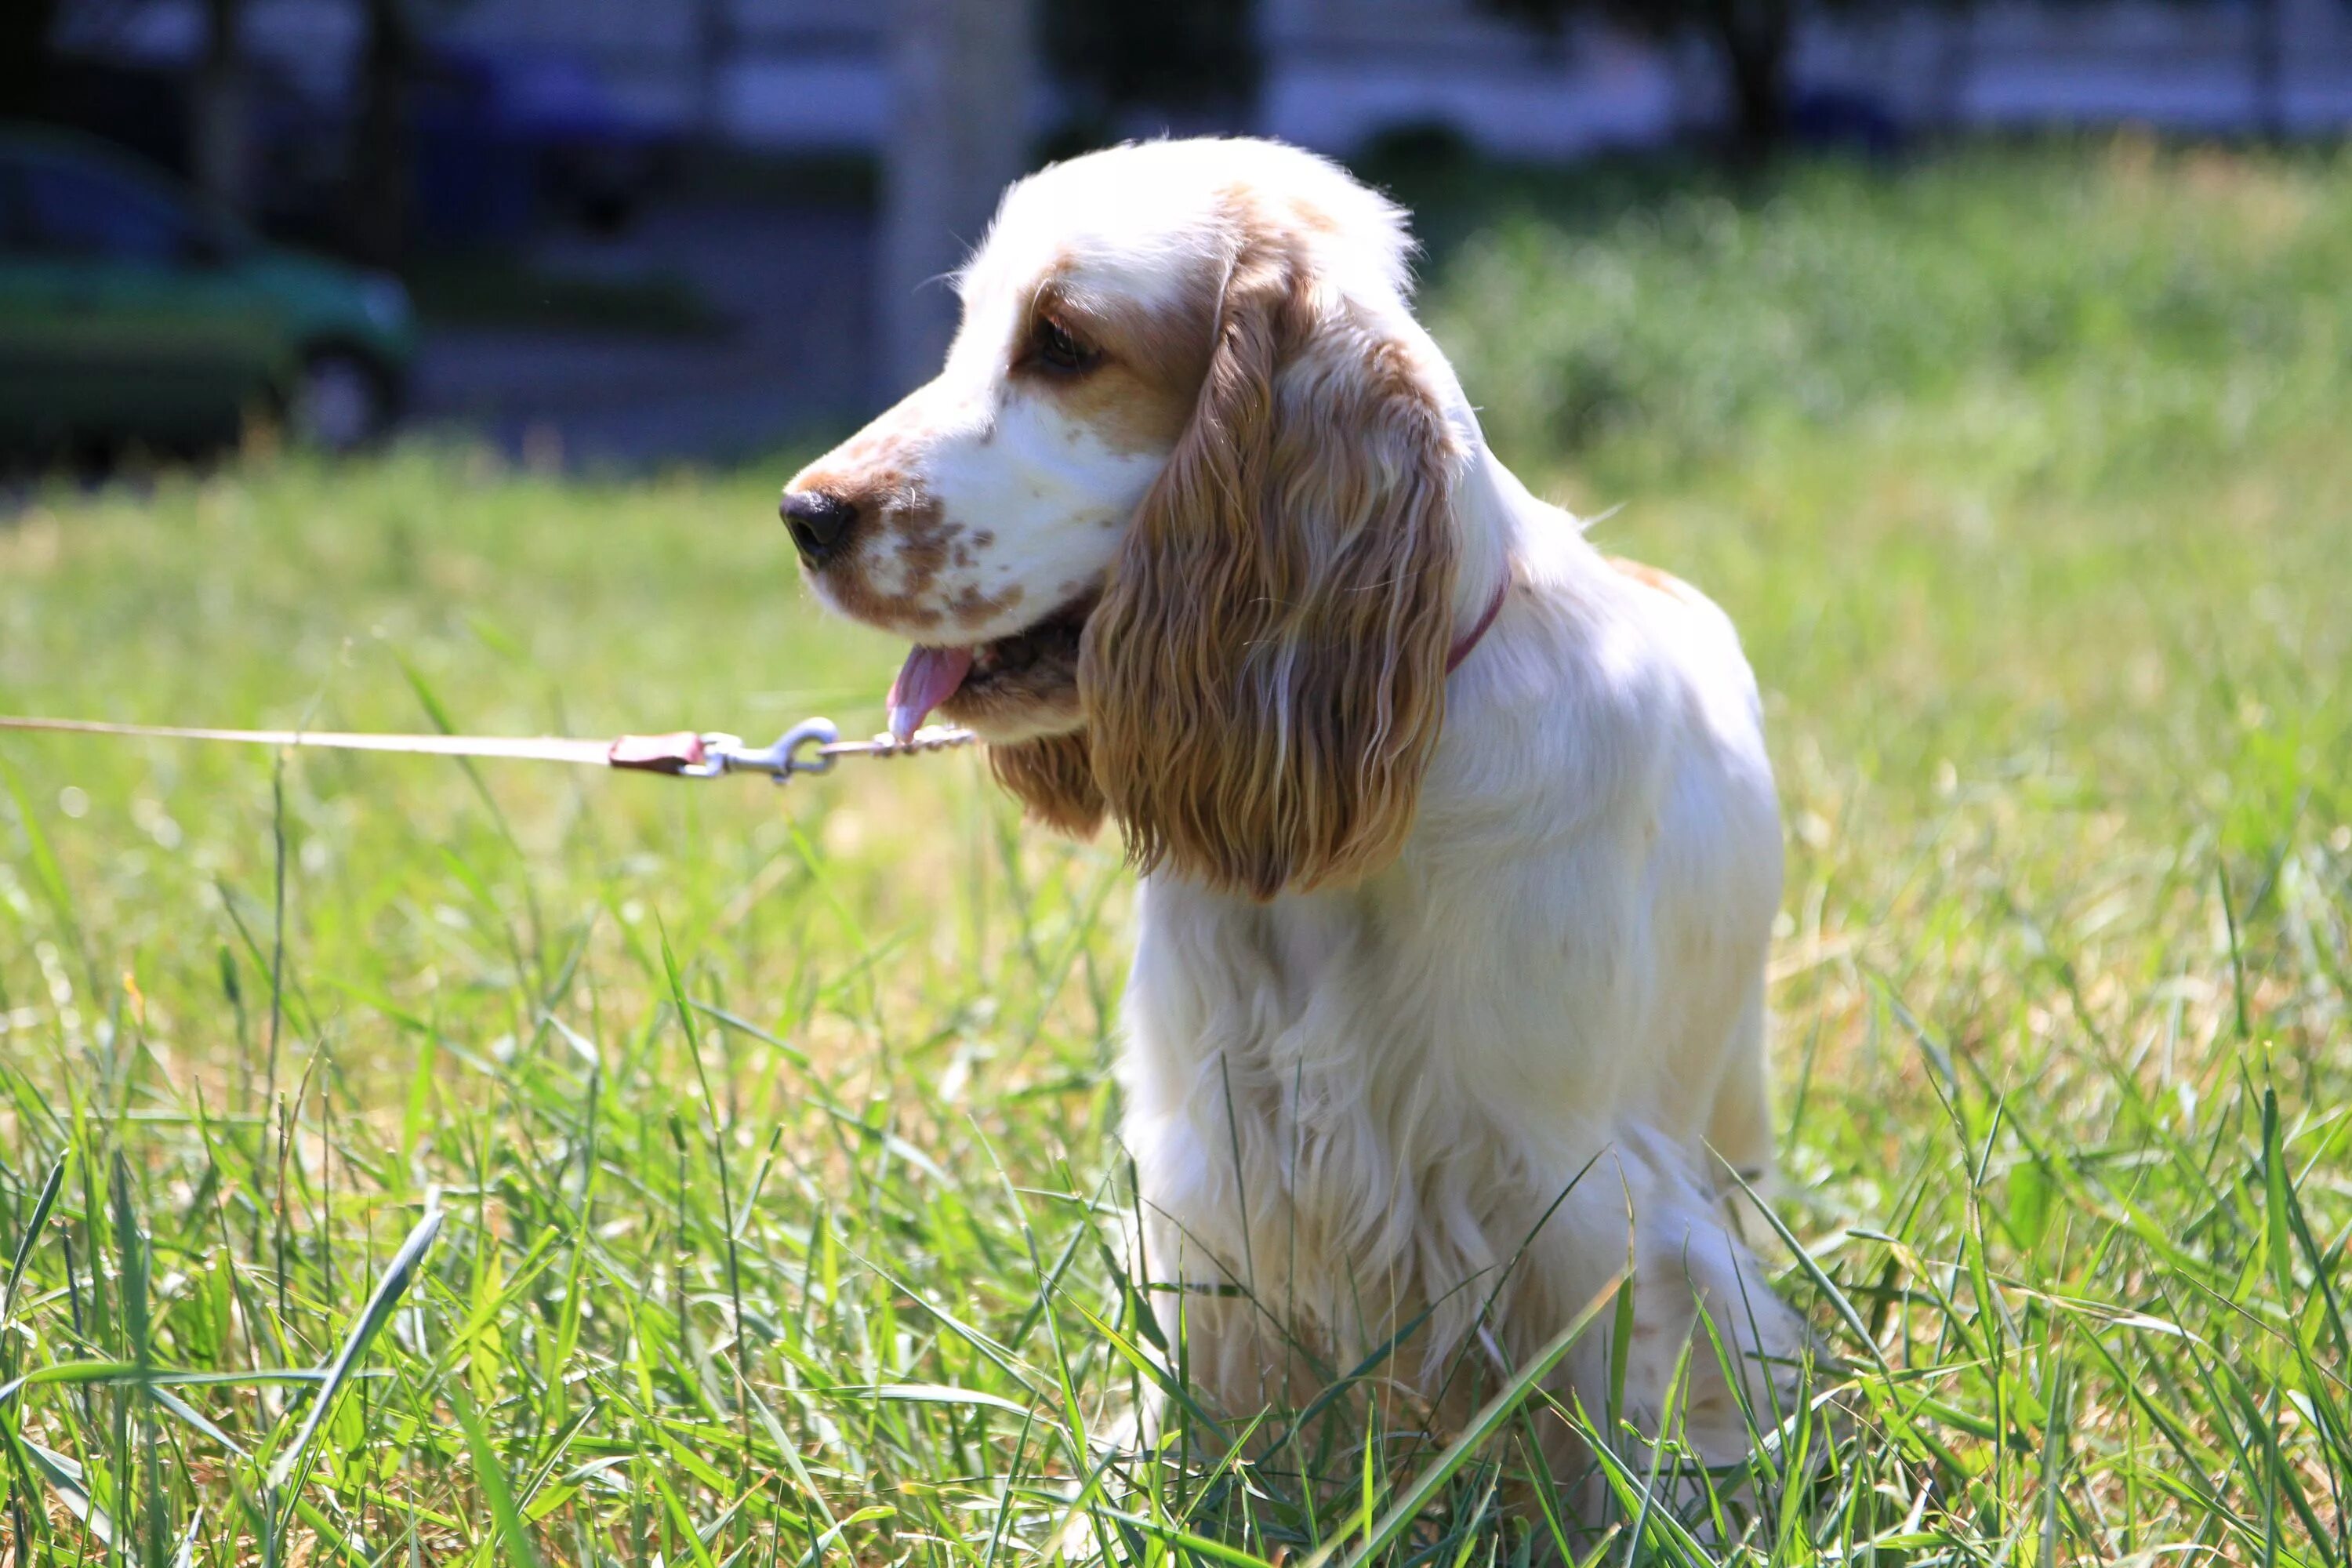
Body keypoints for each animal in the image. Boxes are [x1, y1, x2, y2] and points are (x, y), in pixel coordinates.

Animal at [786, 140, 1797, 1476]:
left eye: (1061, 342)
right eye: (968, 333)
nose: (804, 516)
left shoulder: (1578, 1178)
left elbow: (1622, 1408)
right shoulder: (1211, 1165)